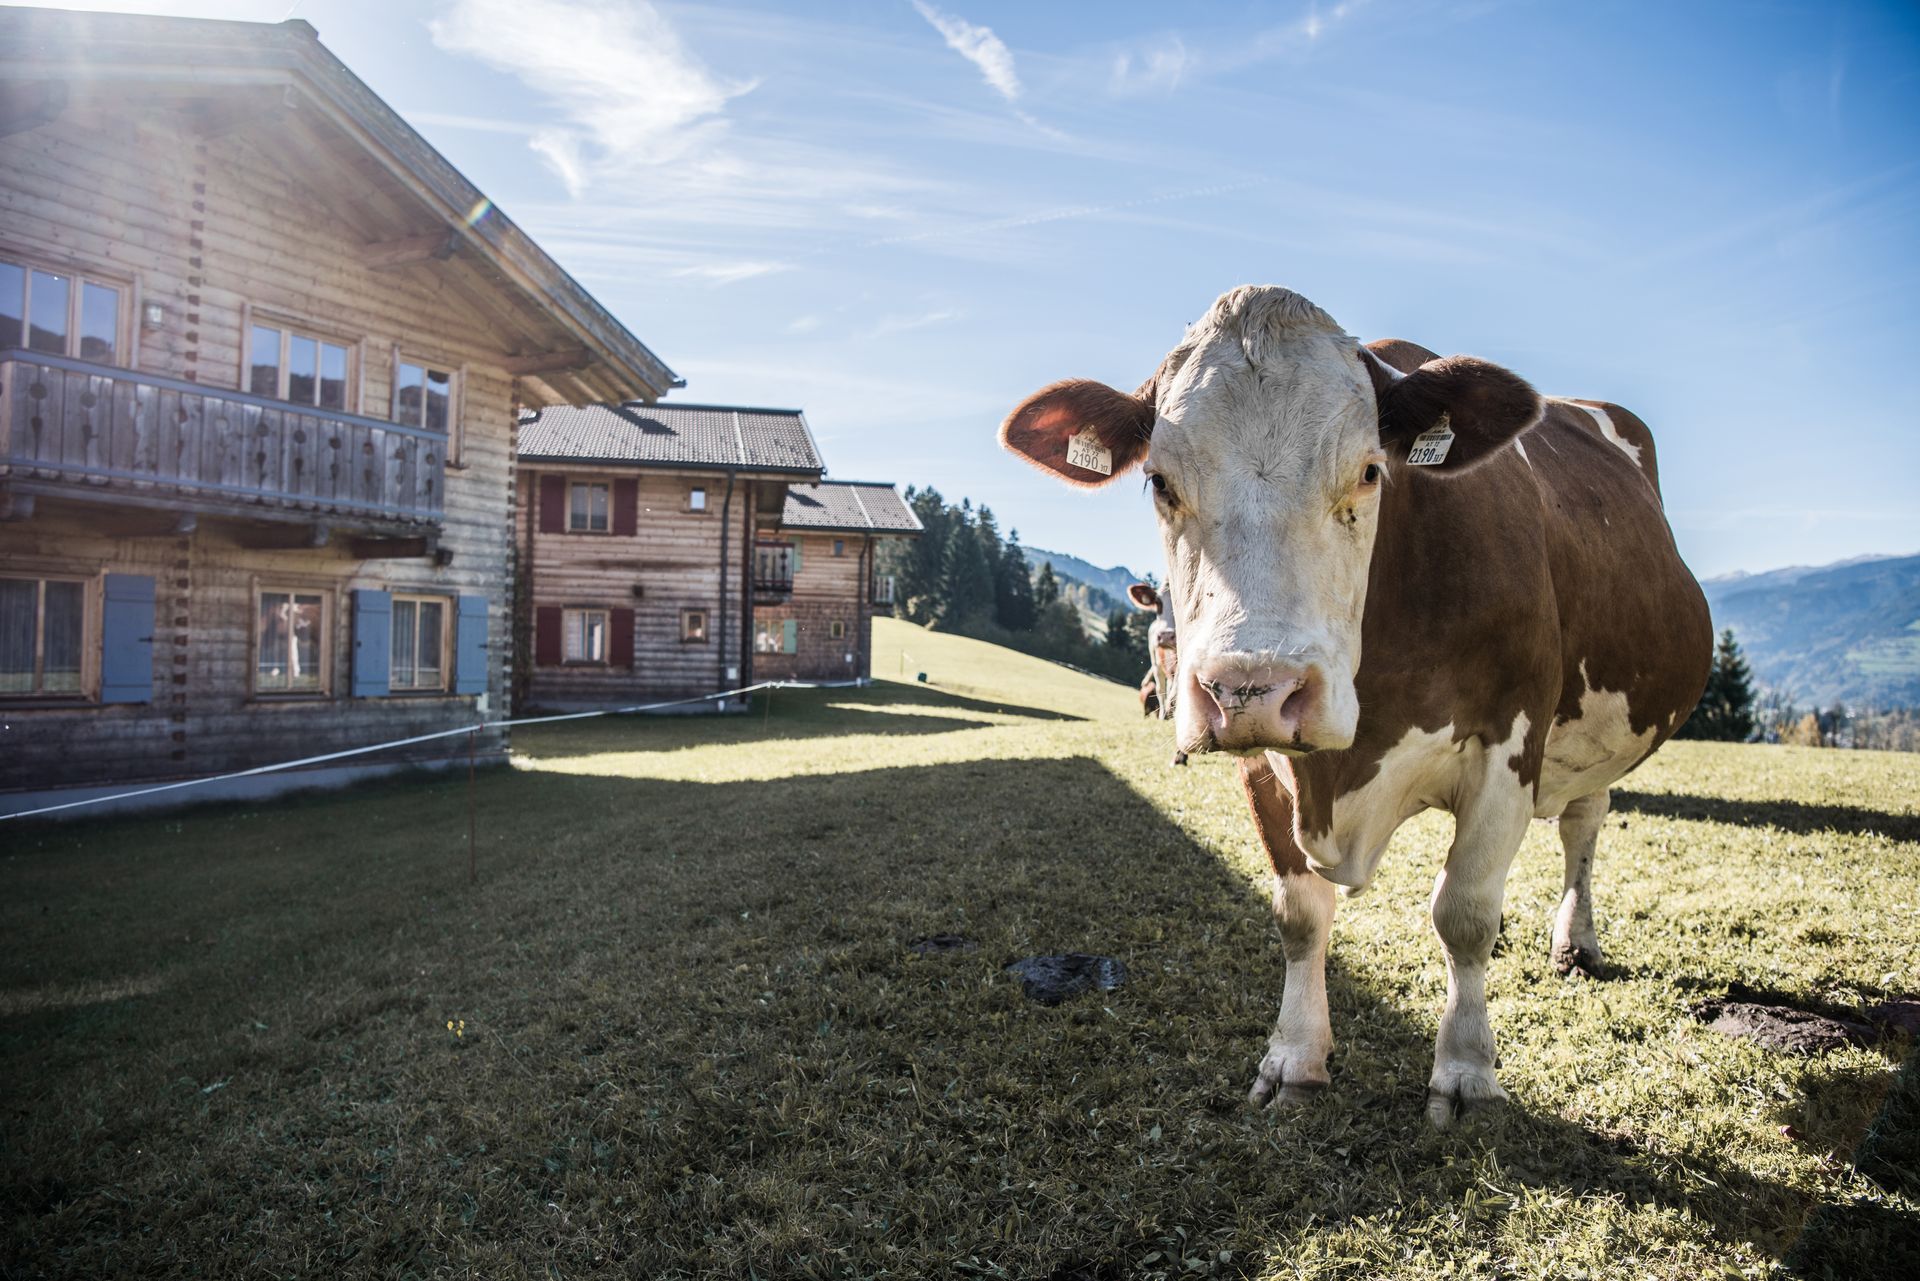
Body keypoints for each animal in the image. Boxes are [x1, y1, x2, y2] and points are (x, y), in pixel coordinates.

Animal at [999, 285, 1710, 1127]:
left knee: (1584, 823)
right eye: (1160, 482)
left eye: (1371, 472)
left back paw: (1577, 940)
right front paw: (1294, 1058)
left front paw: (1466, 1072)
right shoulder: (1263, 765)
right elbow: (1299, 914)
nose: (1253, 687)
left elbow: (1465, 914)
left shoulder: (1509, 743)